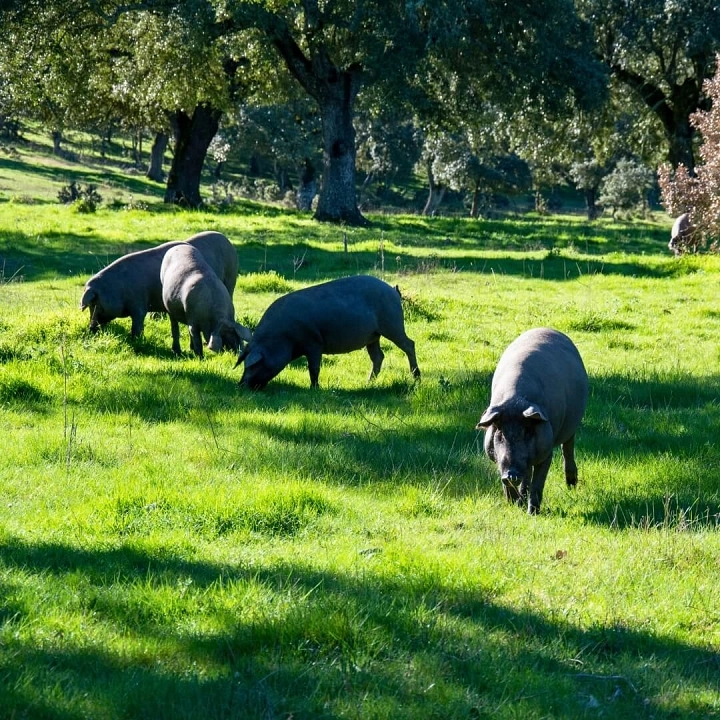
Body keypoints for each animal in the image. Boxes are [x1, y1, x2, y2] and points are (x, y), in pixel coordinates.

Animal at [79, 233, 236, 340]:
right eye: (90, 304)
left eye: (95, 303)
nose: (91, 328)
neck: (118, 288)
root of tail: (227, 241)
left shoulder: (139, 303)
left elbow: (137, 324)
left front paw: (136, 340)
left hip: (230, 280)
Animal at [236, 274, 420, 388]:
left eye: (253, 365)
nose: (241, 385)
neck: (283, 338)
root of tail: (393, 290)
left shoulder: (314, 342)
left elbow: (314, 367)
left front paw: (314, 388)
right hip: (373, 336)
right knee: (378, 356)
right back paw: (368, 383)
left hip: (392, 324)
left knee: (409, 344)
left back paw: (416, 377)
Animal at [476, 330, 588, 516]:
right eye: (500, 433)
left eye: (528, 432)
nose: (511, 474)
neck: (516, 401)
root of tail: (548, 328)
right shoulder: (500, 459)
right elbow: (512, 482)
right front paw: (513, 505)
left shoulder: (547, 450)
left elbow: (538, 483)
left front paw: (532, 513)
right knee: (527, 473)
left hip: (571, 427)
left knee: (567, 449)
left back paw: (571, 485)